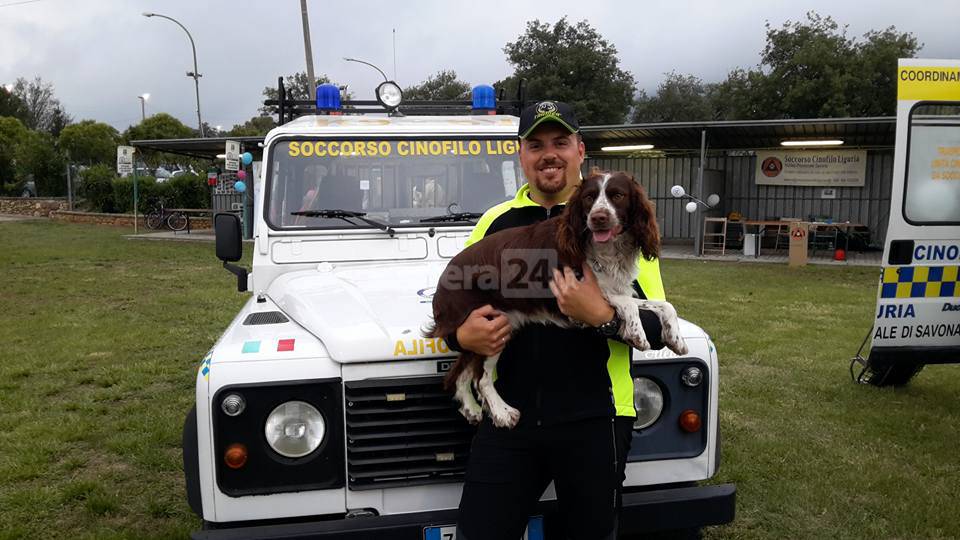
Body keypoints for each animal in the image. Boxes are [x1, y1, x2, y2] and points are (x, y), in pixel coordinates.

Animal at [424, 171, 688, 428]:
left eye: (618, 195)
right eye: (589, 198)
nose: (598, 218)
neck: (605, 251)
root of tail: (442, 281)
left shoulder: (615, 288)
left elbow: (664, 305)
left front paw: (675, 338)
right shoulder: (574, 292)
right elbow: (629, 304)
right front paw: (636, 332)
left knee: (459, 373)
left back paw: (471, 409)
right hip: (491, 325)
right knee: (481, 379)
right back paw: (502, 413)